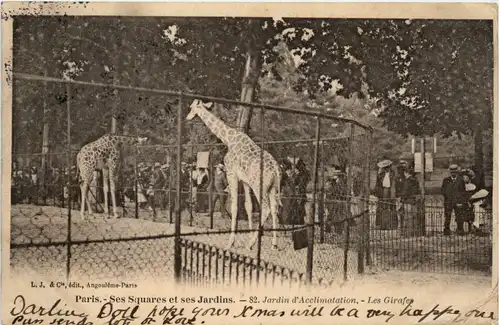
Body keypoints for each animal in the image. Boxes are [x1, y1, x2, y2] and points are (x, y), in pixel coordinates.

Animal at [187, 98, 284, 248]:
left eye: (192, 108)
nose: (188, 117)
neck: (228, 138)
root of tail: (276, 170)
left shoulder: (231, 174)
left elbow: (234, 207)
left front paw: (231, 242)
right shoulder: (244, 180)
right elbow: (248, 206)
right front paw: (247, 236)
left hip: (259, 186)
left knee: (266, 208)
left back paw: (251, 243)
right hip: (272, 187)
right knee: (274, 208)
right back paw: (273, 243)